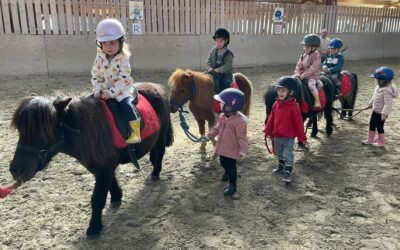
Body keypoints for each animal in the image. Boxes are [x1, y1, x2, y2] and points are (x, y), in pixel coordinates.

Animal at [8, 82, 173, 236]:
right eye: (20, 130)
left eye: (44, 130)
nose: (17, 169)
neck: (89, 129)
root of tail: (157, 87)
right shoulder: (102, 167)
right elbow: (111, 183)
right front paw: (116, 196)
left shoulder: (104, 169)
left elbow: (97, 199)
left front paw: (94, 227)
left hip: (161, 135)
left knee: (160, 152)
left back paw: (155, 173)